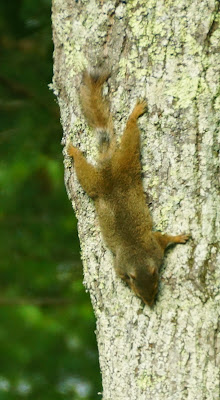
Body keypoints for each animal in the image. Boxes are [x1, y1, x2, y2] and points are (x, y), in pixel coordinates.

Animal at [67, 71, 189, 306]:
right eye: (137, 291)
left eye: (155, 285)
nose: (149, 304)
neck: (137, 255)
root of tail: (108, 168)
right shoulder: (127, 259)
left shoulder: (153, 246)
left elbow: (165, 239)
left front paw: (179, 238)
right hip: (105, 176)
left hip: (113, 169)